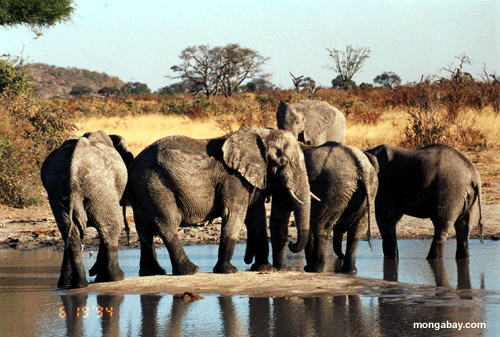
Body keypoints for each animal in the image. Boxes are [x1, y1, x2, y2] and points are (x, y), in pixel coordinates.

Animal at [41, 130, 134, 288]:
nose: (92, 271)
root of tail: (73, 171)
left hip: (58, 192)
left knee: (70, 234)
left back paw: (78, 284)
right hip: (101, 186)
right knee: (111, 227)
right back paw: (116, 277)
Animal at [127, 126, 310, 276]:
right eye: (283, 162)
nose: (293, 243)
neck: (261, 134)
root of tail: (133, 164)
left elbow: (256, 217)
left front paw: (266, 268)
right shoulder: (233, 178)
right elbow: (234, 215)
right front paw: (228, 271)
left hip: (143, 190)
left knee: (144, 230)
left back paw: (153, 272)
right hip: (156, 186)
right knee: (166, 223)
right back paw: (190, 271)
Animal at [244, 141, 376, 272]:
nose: (292, 244)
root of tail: (361, 165)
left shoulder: (282, 186)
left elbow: (278, 220)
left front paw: (279, 268)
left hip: (335, 187)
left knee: (321, 226)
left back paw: (315, 268)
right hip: (367, 190)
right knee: (356, 231)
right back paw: (349, 270)